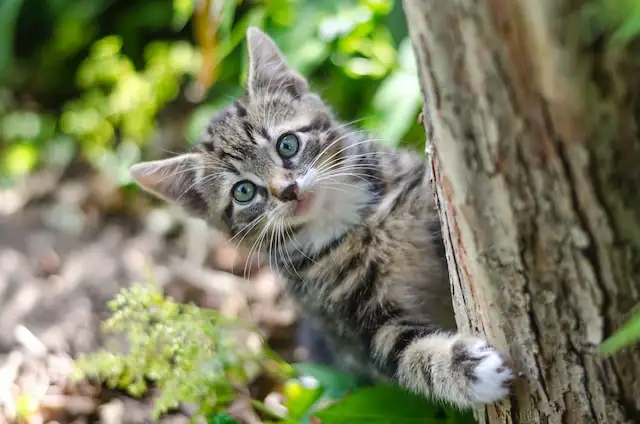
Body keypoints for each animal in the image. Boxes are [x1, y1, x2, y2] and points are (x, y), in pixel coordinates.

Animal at [131, 27, 516, 408]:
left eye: (287, 144)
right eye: (244, 191)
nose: (287, 190)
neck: (353, 224)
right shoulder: (353, 325)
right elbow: (406, 355)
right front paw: (464, 368)